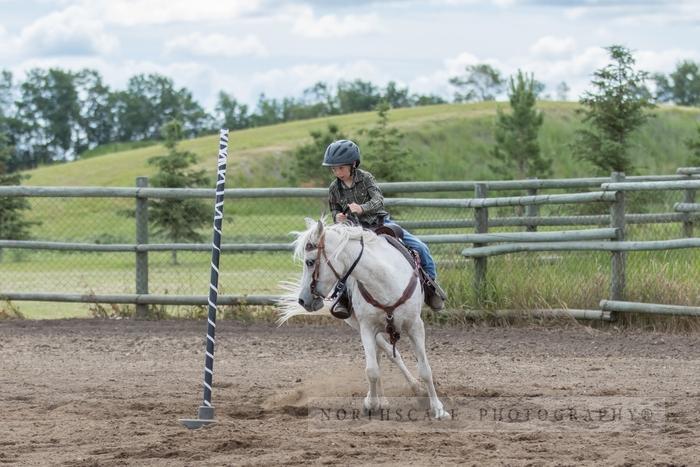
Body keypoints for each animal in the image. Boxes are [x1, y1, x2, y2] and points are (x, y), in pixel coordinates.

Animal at [278, 218, 448, 420]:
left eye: (310, 262)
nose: (303, 300)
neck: (384, 280)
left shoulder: (415, 325)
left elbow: (425, 369)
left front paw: (438, 409)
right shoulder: (366, 327)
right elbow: (372, 370)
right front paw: (371, 404)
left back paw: (416, 391)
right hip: (361, 326)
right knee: (385, 355)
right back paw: (383, 399)